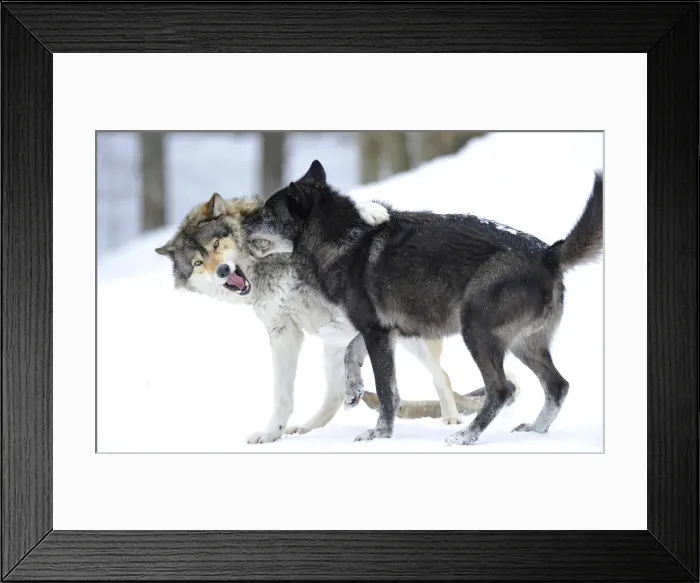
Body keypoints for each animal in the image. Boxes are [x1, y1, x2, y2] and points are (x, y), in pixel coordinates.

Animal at [154, 192, 494, 444]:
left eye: (216, 244)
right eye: (198, 263)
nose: (223, 271)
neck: (266, 270)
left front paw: (372, 213)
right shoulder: (284, 333)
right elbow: (282, 395)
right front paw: (272, 433)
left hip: (414, 339)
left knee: (442, 376)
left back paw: (450, 417)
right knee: (335, 392)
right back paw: (308, 426)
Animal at [244, 160, 603, 445]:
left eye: (267, 213)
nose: (244, 222)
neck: (344, 238)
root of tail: (548, 253)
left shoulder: (376, 332)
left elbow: (386, 390)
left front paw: (380, 433)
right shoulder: (382, 331)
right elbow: (352, 355)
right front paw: (353, 389)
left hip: (477, 334)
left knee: (502, 389)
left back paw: (467, 435)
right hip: (523, 345)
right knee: (558, 386)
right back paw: (535, 429)